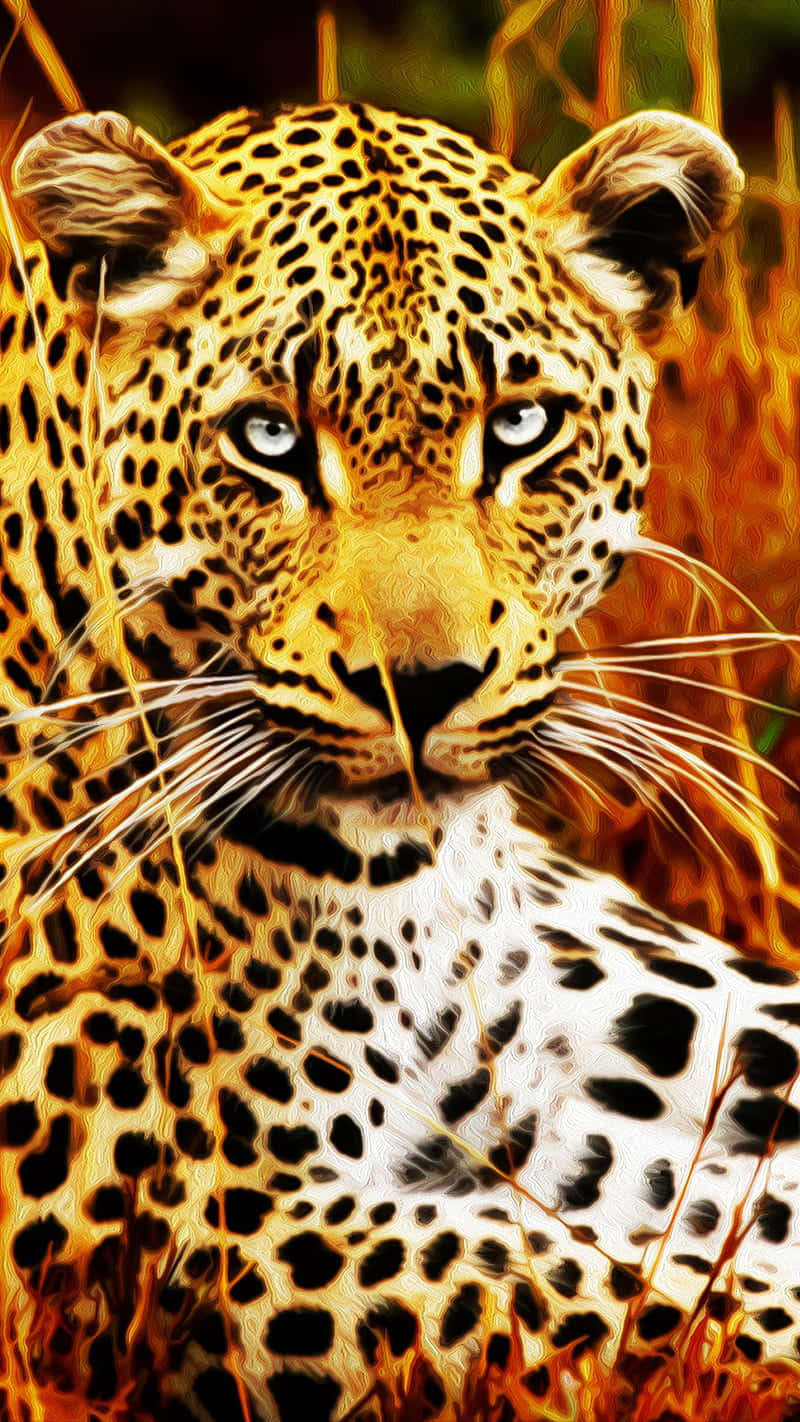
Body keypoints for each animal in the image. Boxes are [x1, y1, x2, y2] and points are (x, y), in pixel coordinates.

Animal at [0, 94, 799, 1422]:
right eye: (268, 440)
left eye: (518, 429)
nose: (420, 687)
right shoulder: (195, 1239)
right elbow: (625, 1297)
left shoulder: (547, 1102)